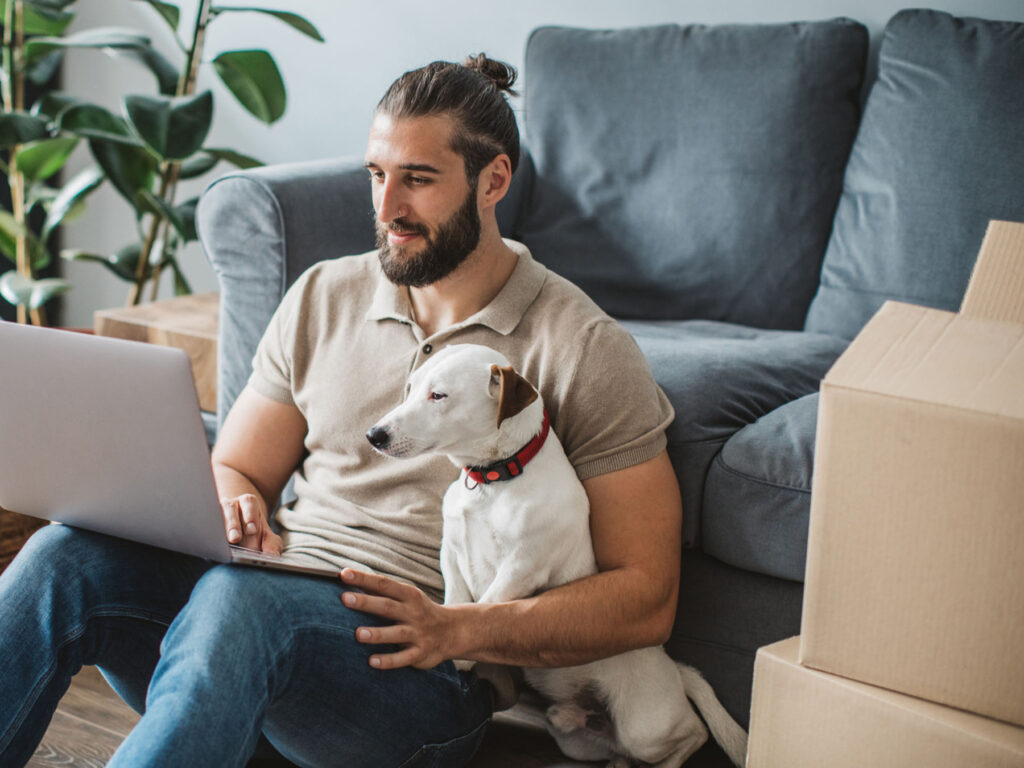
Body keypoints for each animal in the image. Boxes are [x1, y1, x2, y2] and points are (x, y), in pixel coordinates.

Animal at [366, 346, 745, 765]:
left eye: (439, 396)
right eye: (411, 388)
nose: (374, 435)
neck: (495, 478)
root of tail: (675, 671)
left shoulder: (522, 568)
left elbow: (482, 606)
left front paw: (455, 651)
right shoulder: (451, 550)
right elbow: (459, 601)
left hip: (645, 728)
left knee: (692, 735)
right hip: (573, 739)